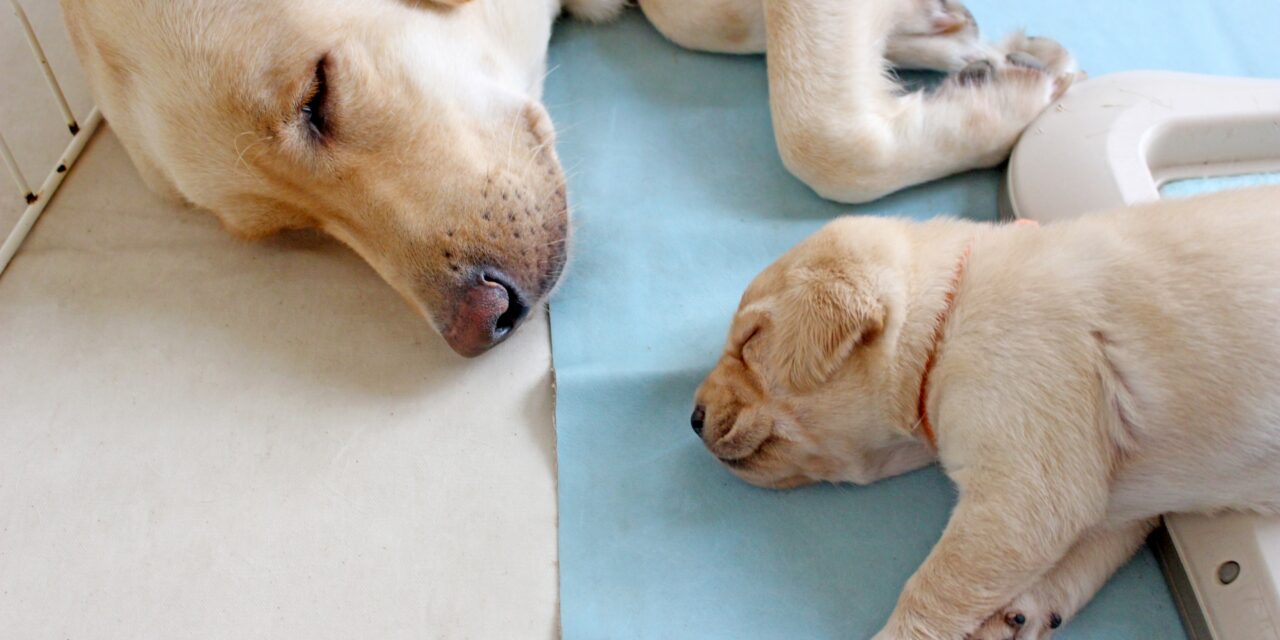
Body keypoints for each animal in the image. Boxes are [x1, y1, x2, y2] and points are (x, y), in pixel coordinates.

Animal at [62, 0, 1080, 355]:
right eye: (291, 231)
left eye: (318, 97)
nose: (483, 323)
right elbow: (705, 26)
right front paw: (943, 43)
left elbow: (821, 137)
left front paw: (1001, 94)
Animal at [691, 186, 1280, 637]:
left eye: (750, 341)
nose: (693, 419)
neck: (945, 316)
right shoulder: (1118, 500)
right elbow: (1086, 551)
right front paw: (1018, 614)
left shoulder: (1025, 478)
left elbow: (937, 585)